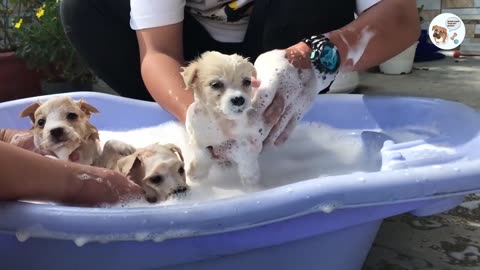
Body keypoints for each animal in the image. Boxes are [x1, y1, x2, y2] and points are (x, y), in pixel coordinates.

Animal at [181, 50, 262, 188]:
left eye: (246, 81)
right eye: (216, 84)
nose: (239, 99)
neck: (220, 121)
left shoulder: (243, 141)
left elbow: (246, 159)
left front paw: (251, 180)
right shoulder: (199, 139)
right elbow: (202, 156)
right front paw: (196, 174)